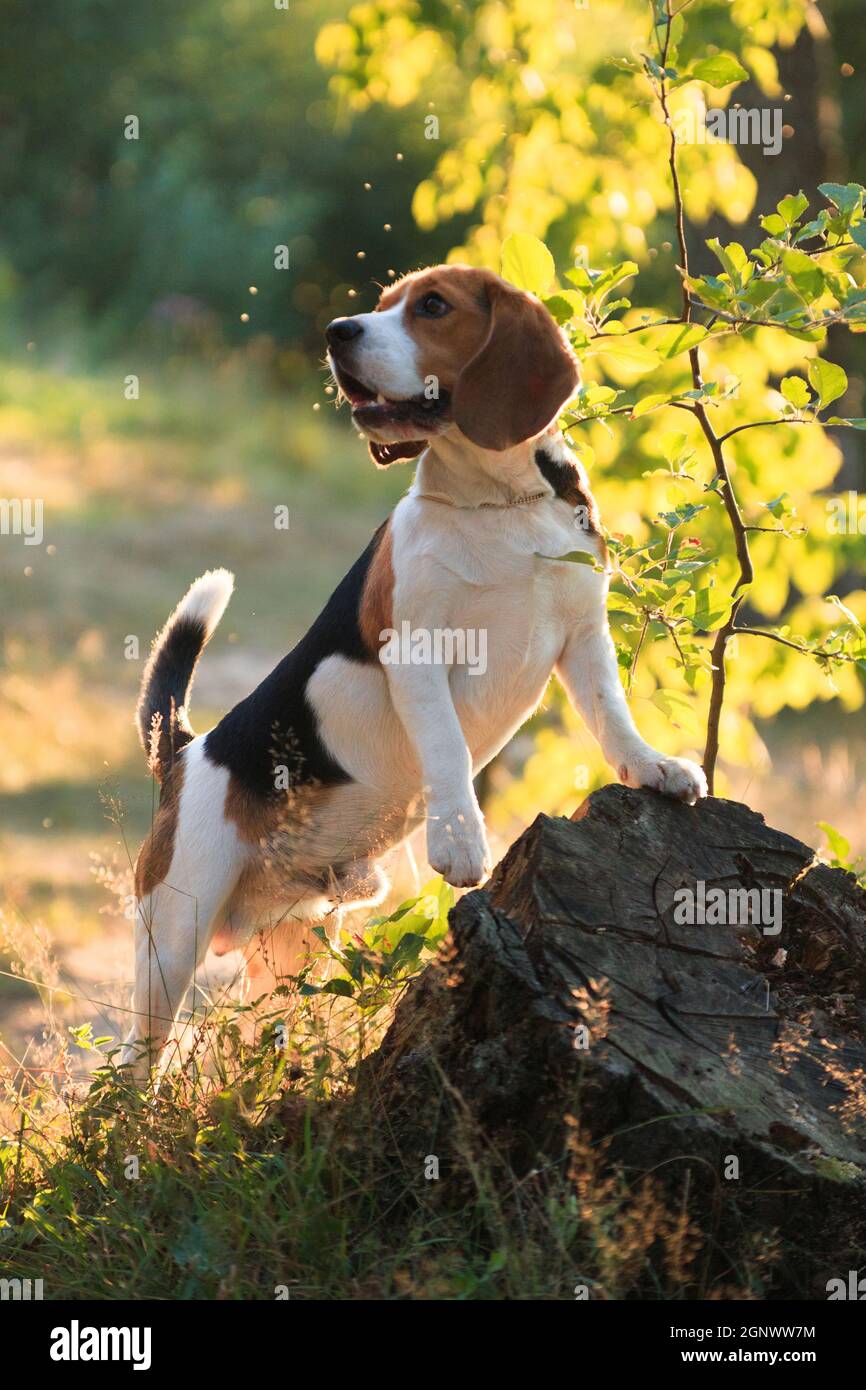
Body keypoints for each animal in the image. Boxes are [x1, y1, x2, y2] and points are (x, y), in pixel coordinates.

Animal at [118, 265, 708, 1078]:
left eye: (433, 306)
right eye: (380, 304)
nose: (338, 331)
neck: (497, 500)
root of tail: (182, 751)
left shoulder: (584, 637)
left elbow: (612, 718)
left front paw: (653, 769)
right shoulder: (418, 654)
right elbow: (448, 749)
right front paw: (461, 842)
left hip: (289, 955)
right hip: (174, 935)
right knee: (130, 1067)